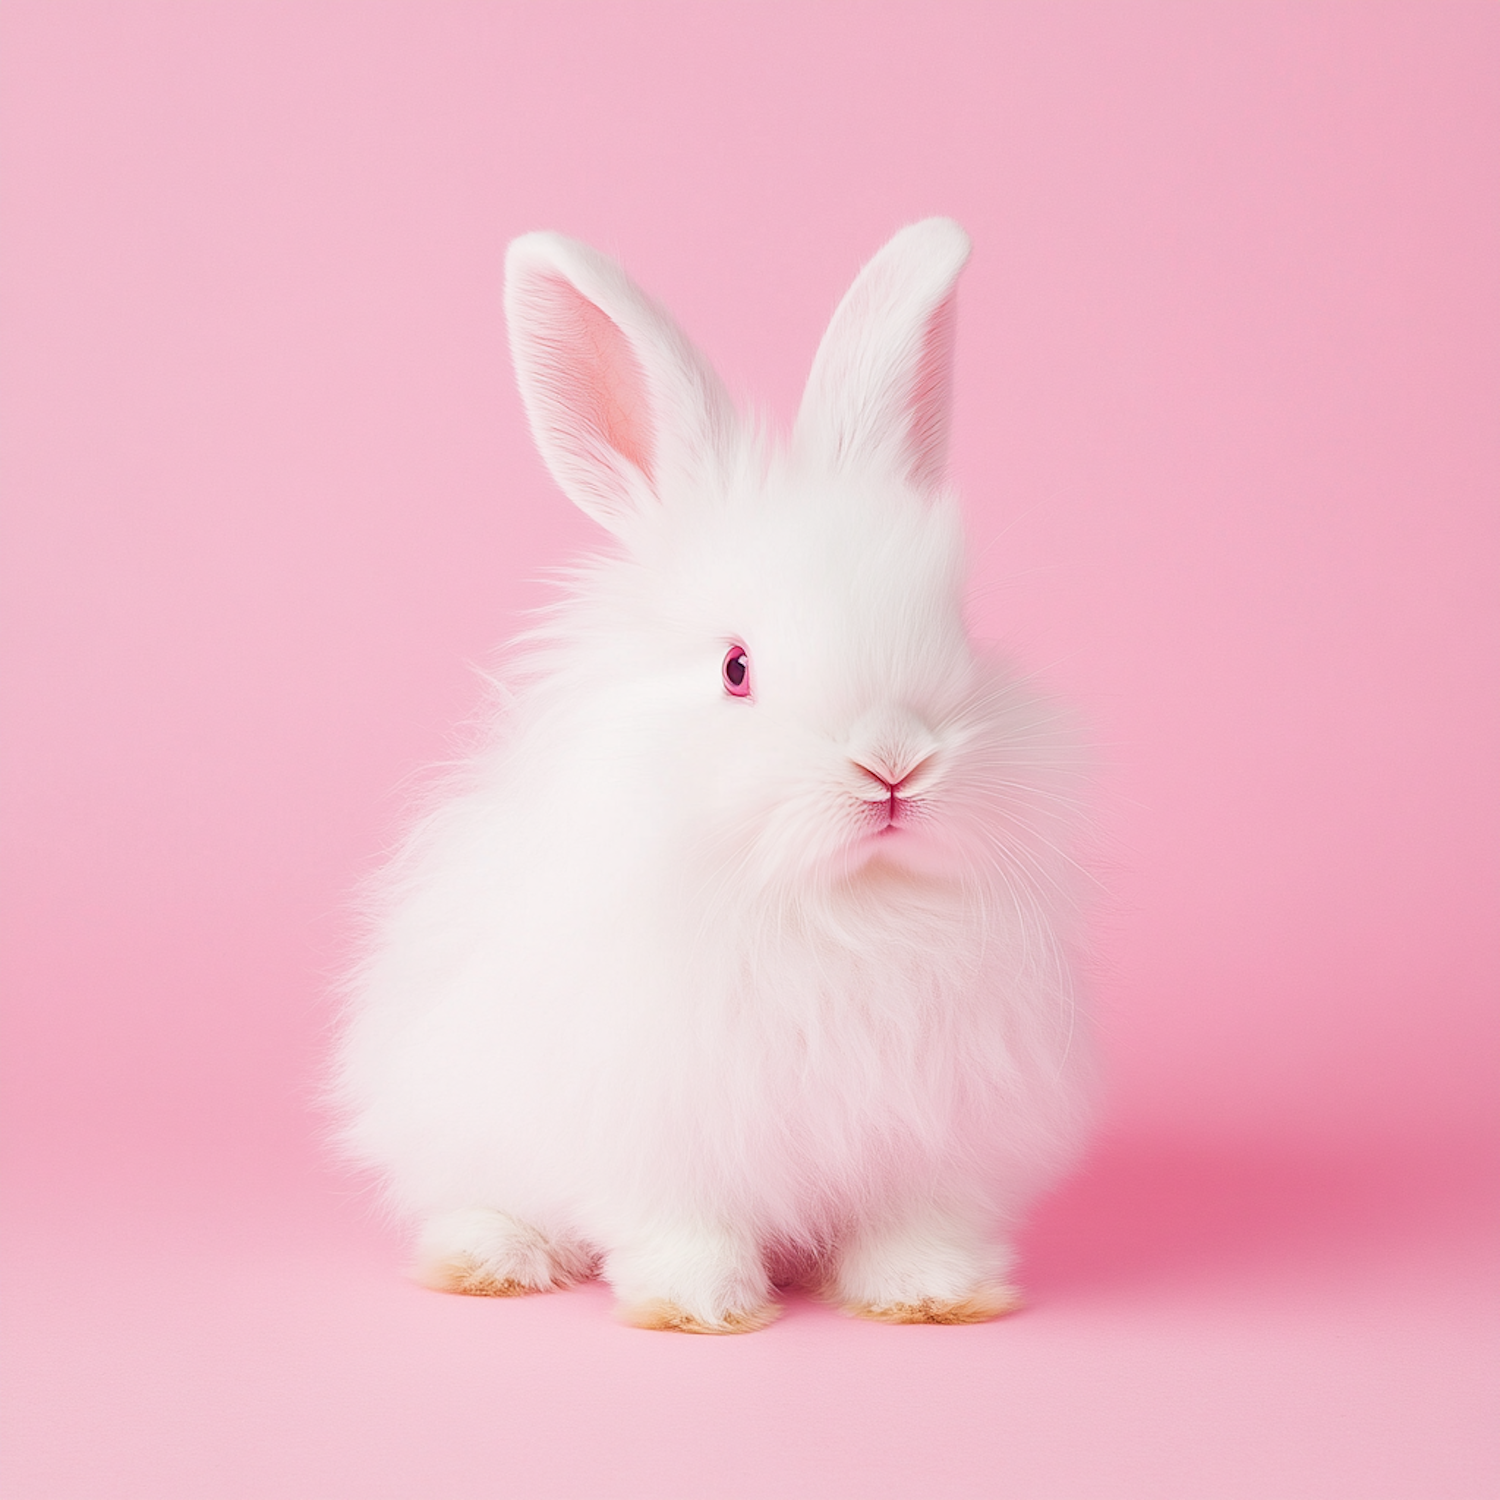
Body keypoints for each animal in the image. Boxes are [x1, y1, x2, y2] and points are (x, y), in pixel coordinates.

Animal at [334, 217, 1092, 1332]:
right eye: (737, 669)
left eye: (959, 637)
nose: (893, 767)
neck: (843, 908)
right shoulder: (657, 1128)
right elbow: (682, 1225)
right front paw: (704, 1309)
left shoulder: (933, 1140)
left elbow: (913, 1227)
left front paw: (929, 1297)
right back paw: (492, 1261)